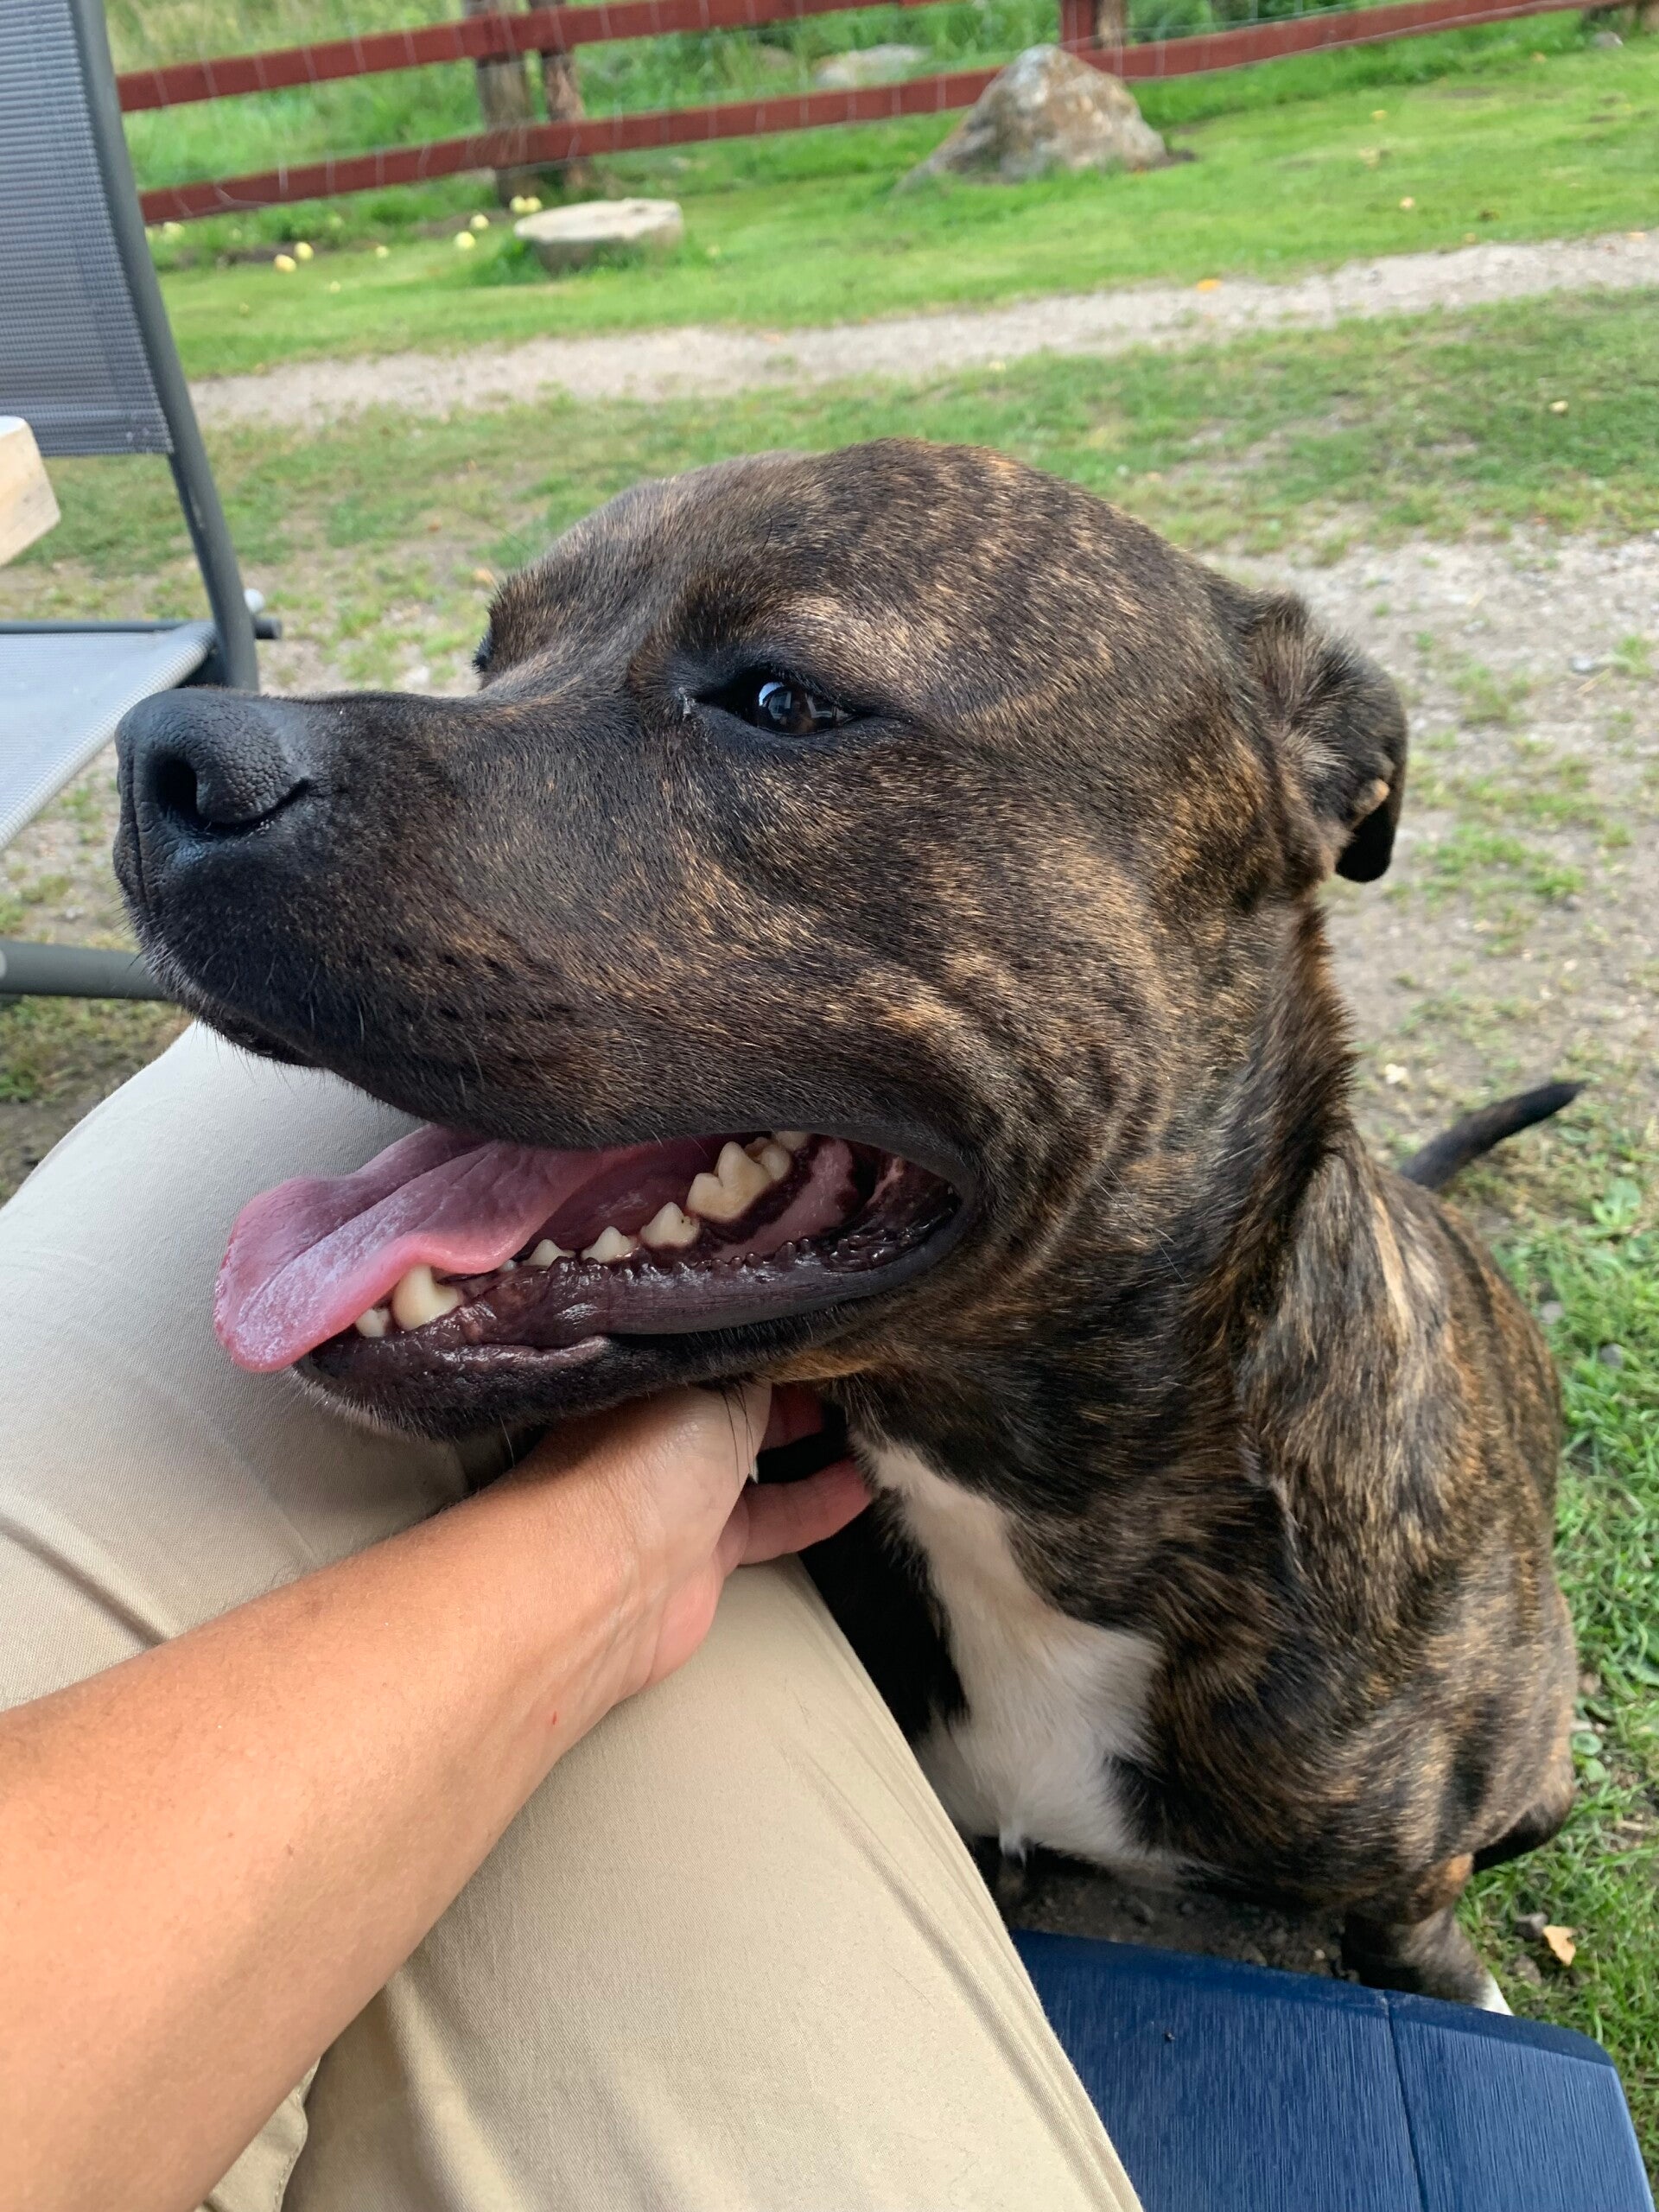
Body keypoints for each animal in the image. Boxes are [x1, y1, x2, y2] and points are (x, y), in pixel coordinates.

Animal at [114, 440, 1578, 2007]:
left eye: (782, 701)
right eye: (491, 656)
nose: (161, 755)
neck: (1018, 1516)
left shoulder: (1418, 1878)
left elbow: (1425, 1944)